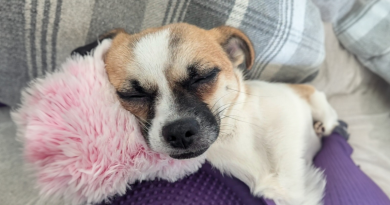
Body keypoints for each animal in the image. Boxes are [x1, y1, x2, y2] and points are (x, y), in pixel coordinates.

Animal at [72, 22, 338, 205]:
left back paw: (325, 122)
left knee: (314, 94)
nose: (179, 132)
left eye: (203, 76)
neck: (235, 136)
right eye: (133, 95)